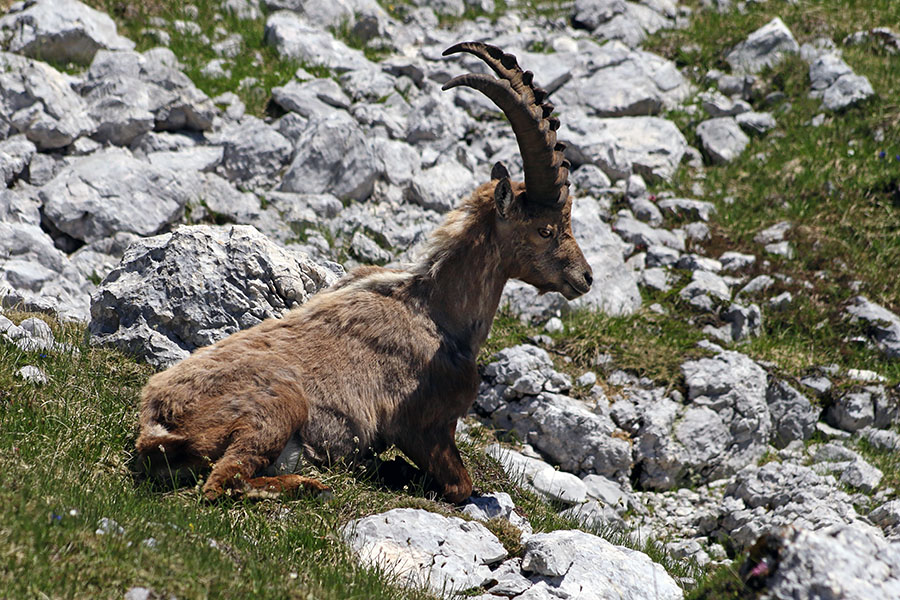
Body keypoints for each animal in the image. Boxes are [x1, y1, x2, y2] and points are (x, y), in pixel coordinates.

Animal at [135, 42, 593, 503]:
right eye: (546, 229)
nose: (586, 277)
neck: (438, 314)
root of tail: (157, 423)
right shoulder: (422, 426)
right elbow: (459, 486)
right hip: (278, 404)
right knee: (221, 483)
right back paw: (311, 484)